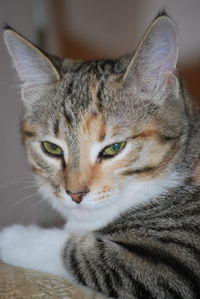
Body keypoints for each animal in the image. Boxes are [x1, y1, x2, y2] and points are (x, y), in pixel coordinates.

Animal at [0, 12, 200, 299]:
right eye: (52, 148)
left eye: (113, 149)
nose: (75, 194)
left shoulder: (178, 260)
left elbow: (82, 254)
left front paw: (12, 237)